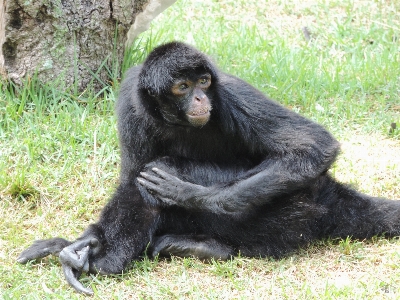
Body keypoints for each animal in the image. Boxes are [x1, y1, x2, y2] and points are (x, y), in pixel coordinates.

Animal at [18, 42, 400, 296]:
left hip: (296, 203)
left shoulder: (230, 94)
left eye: (203, 82)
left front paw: (190, 193)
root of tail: (330, 192)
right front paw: (89, 241)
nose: (201, 98)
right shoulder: (130, 100)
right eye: (182, 87)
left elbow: (314, 146)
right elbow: (129, 176)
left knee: (161, 171)